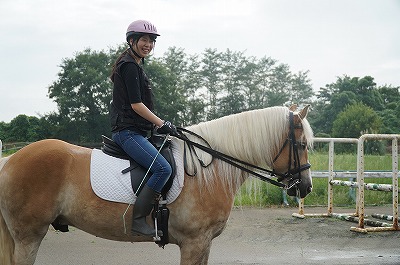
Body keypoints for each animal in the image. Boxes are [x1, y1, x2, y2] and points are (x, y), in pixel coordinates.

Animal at [0, 105, 312, 264]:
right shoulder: (194, 243)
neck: (209, 169)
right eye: (302, 144)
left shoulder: (204, 245)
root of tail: (10, 159)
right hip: (29, 236)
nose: (305, 188)